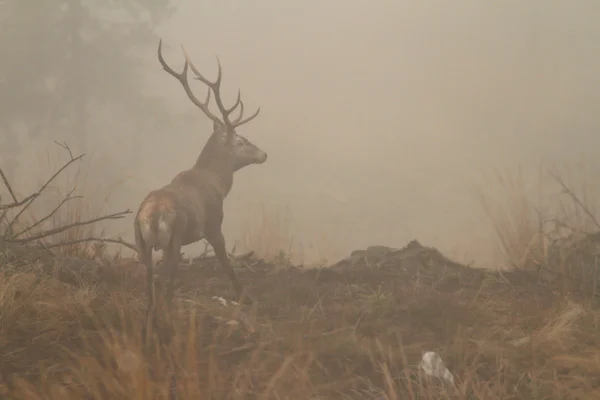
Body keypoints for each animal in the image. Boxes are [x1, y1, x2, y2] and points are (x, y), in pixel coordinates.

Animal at [136, 39, 268, 324]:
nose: (264, 154)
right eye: (241, 141)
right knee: (165, 279)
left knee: (149, 280)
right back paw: (166, 316)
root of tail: (152, 214)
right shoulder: (214, 223)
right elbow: (226, 263)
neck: (219, 183)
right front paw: (245, 297)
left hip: (140, 241)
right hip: (173, 237)